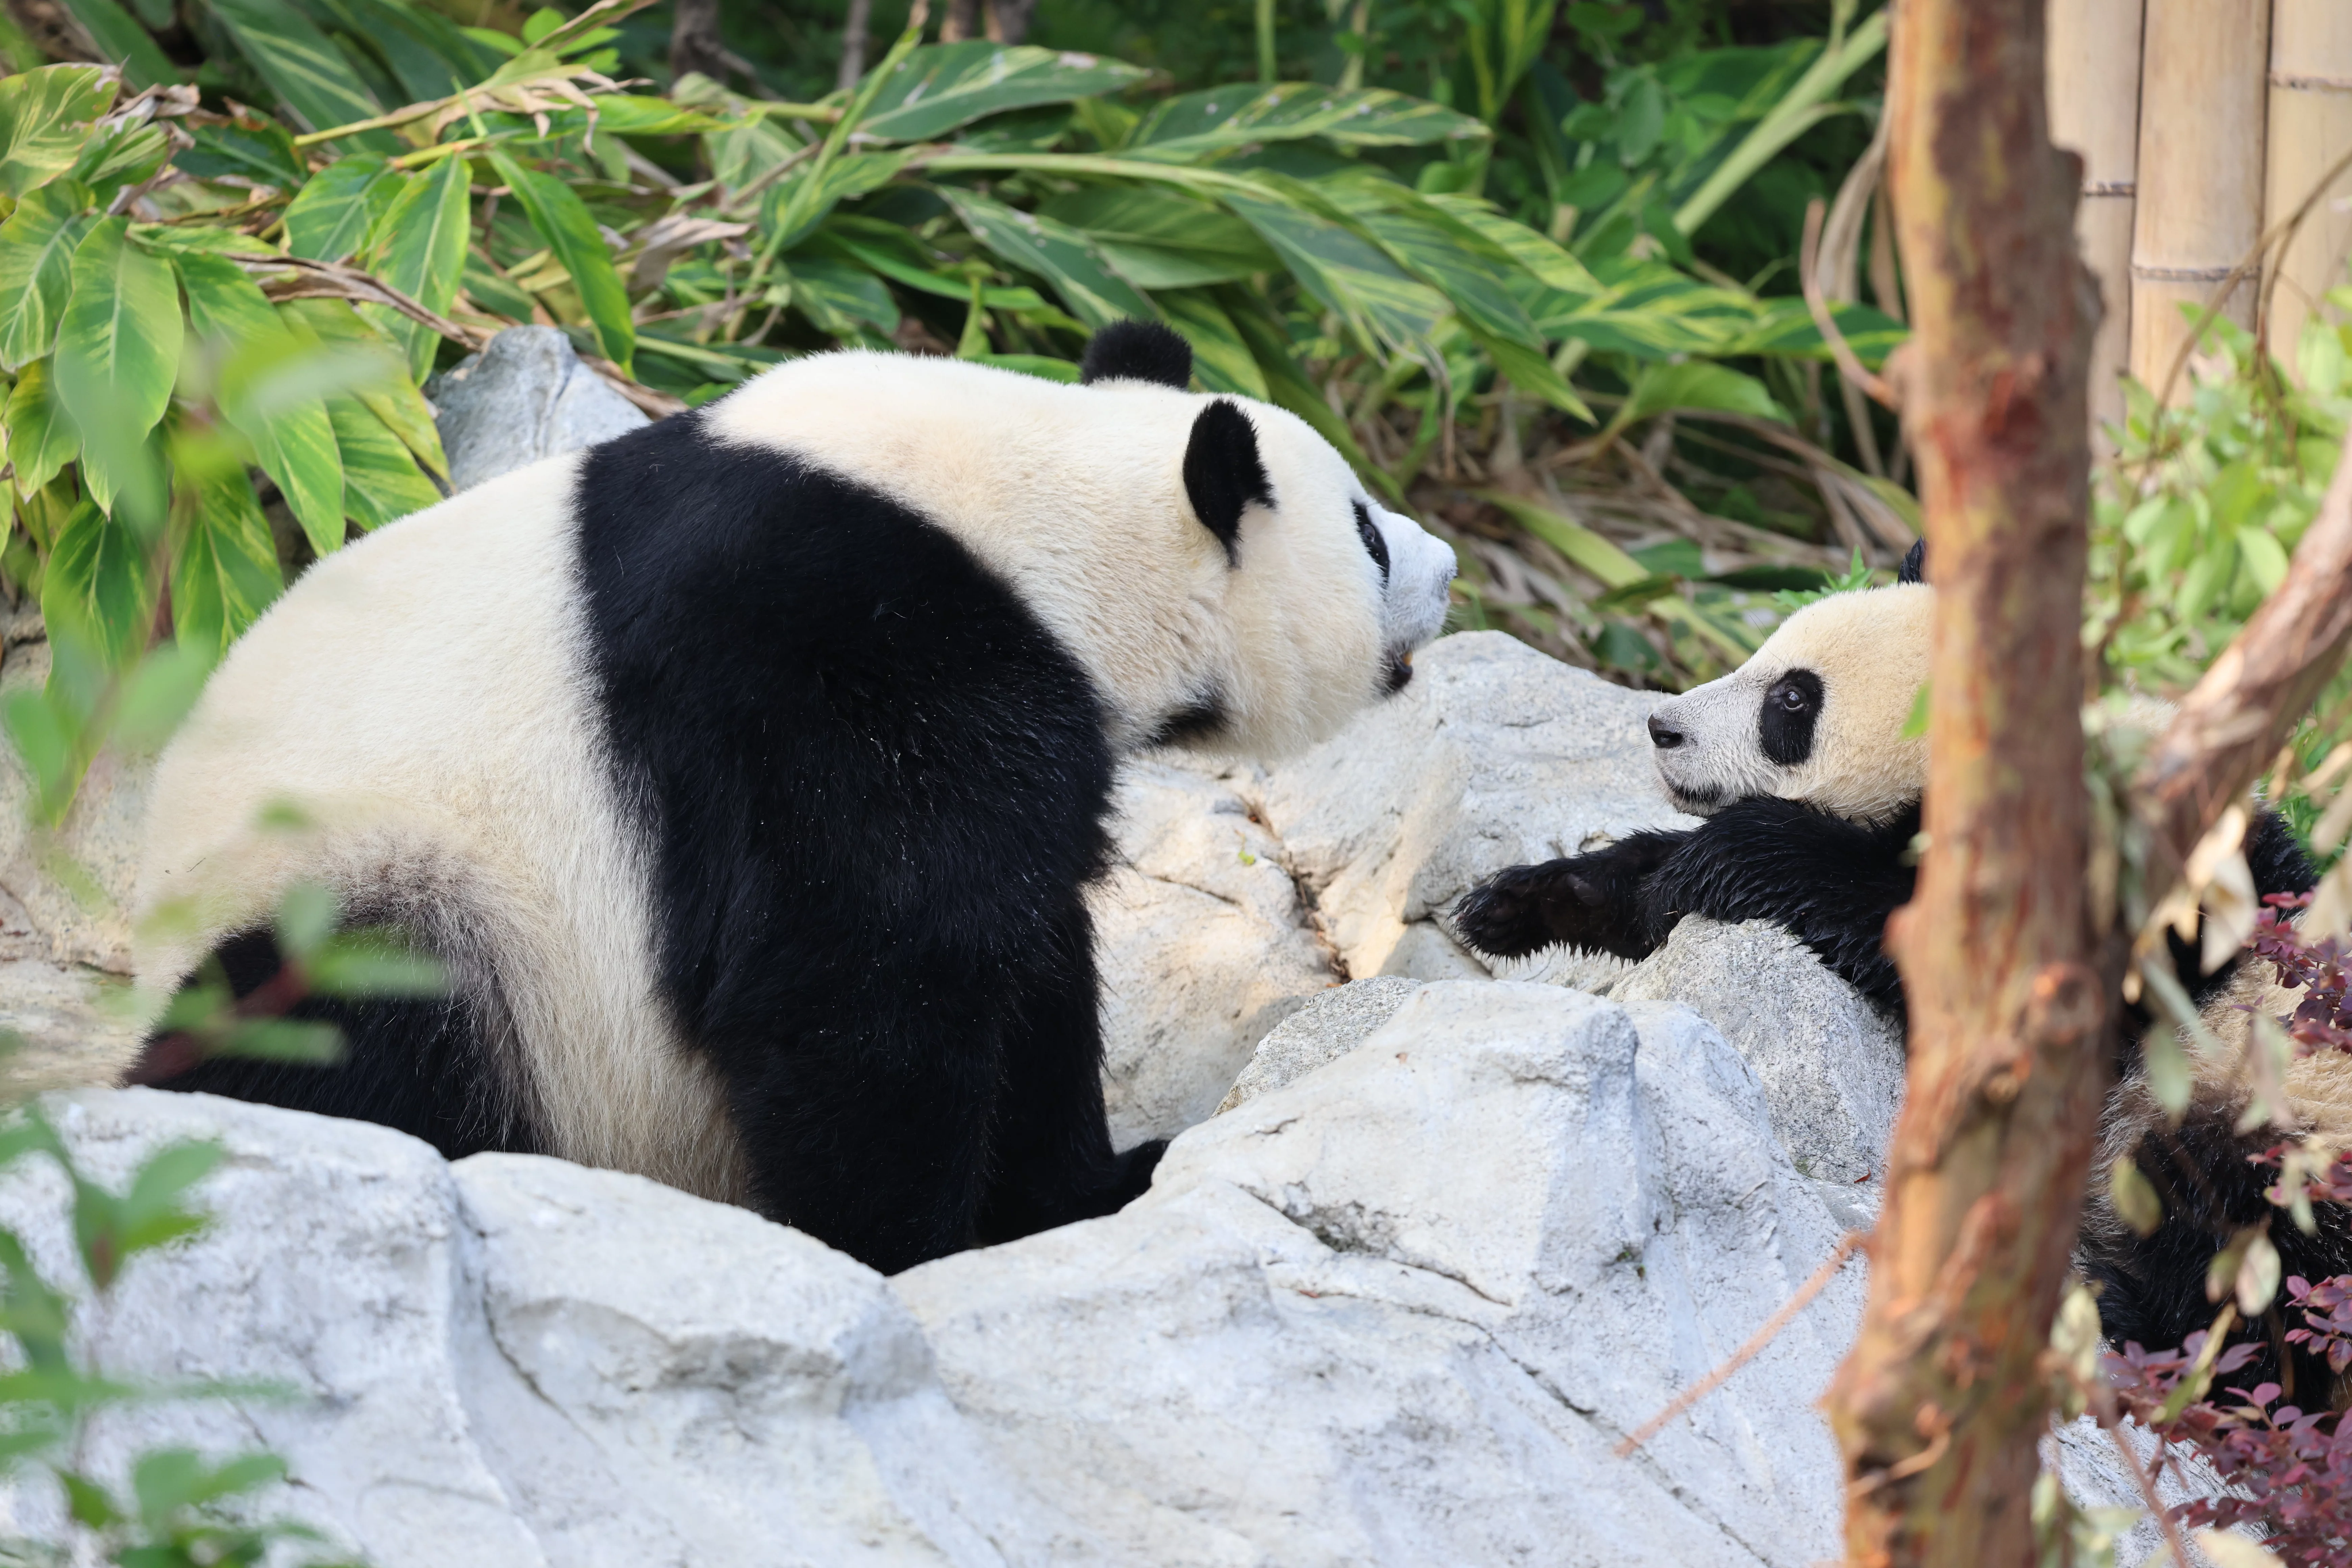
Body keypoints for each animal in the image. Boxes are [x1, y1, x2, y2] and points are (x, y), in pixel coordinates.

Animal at [128, 320, 1458, 1276]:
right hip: (388, 898)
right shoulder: (833, 653)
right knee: (355, 1028)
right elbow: (860, 971)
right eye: (1365, 535)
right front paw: (902, 1252)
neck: (1033, 511)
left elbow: (1027, 962)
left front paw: (1084, 1191)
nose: (1448, 570)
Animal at [1450, 541, 2352, 1402]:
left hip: (2263, 1099)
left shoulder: (2140, 907)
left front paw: (1726, 853)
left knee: (2230, 1230)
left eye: (1792, 700)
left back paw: (2128, 1313)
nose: (1661, 727)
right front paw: (1517, 903)